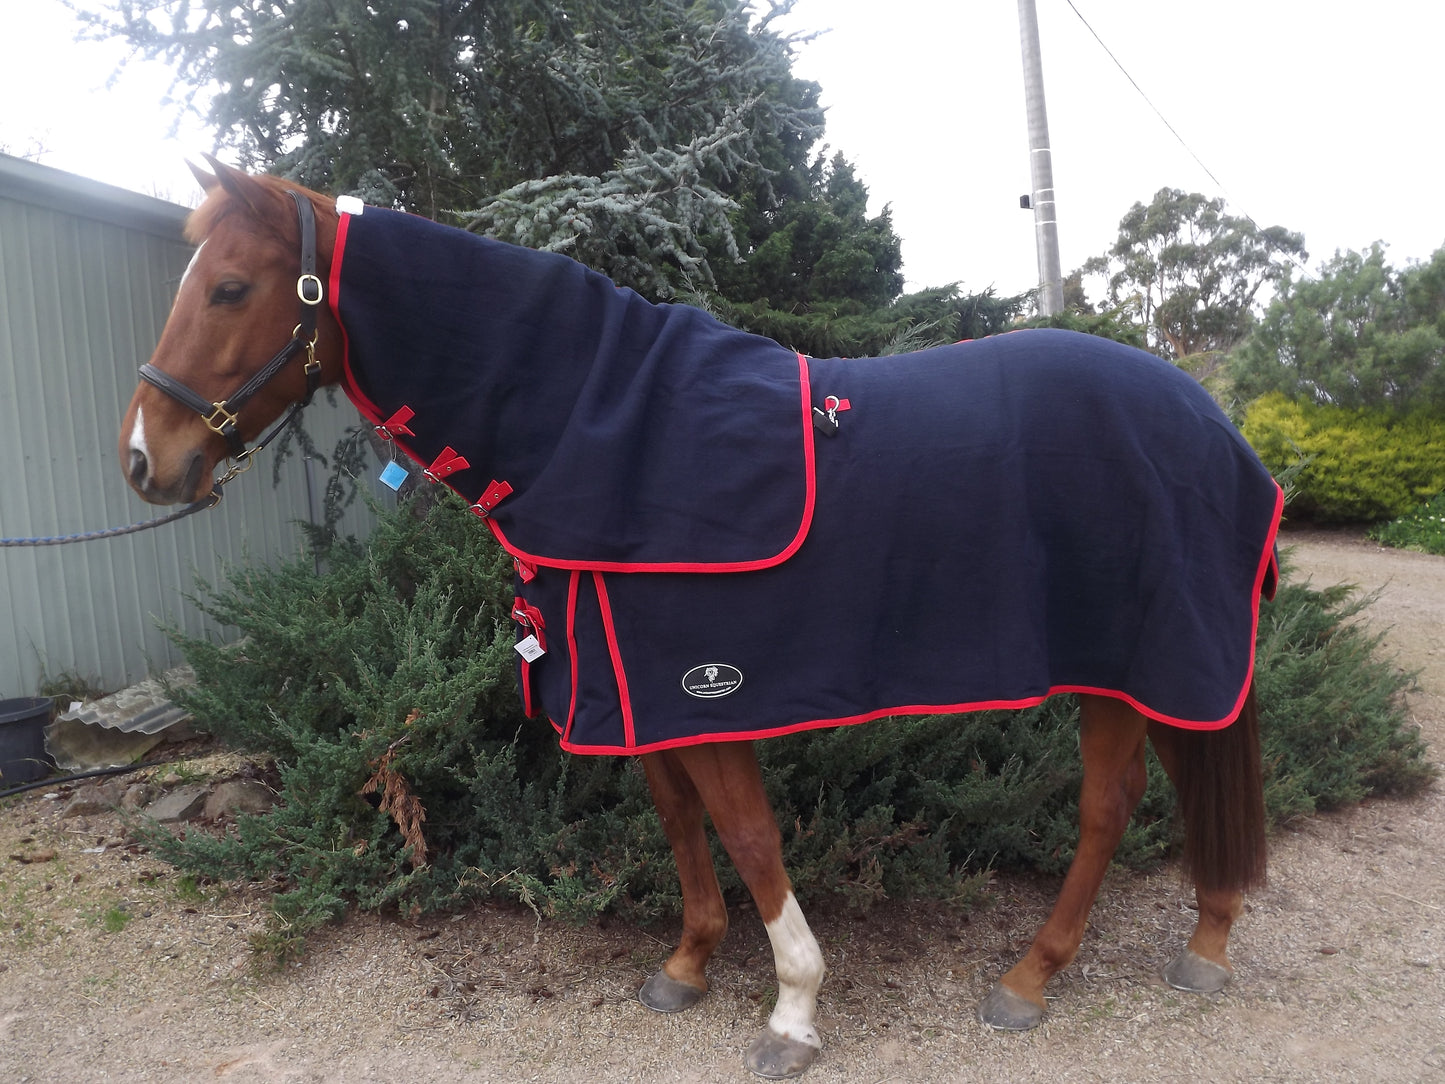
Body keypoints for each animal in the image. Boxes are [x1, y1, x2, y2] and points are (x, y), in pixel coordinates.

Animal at [121, 158, 1282, 1079]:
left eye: (231, 286)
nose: (144, 460)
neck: (605, 430)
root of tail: (1211, 421)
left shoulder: (708, 688)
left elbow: (751, 837)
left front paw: (793, 1014)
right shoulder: (635, 689)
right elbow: (681, 825)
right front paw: (685, 963)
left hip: (1132, 662)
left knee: (1104, 806)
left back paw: (1032, 977)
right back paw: (1203, 939)